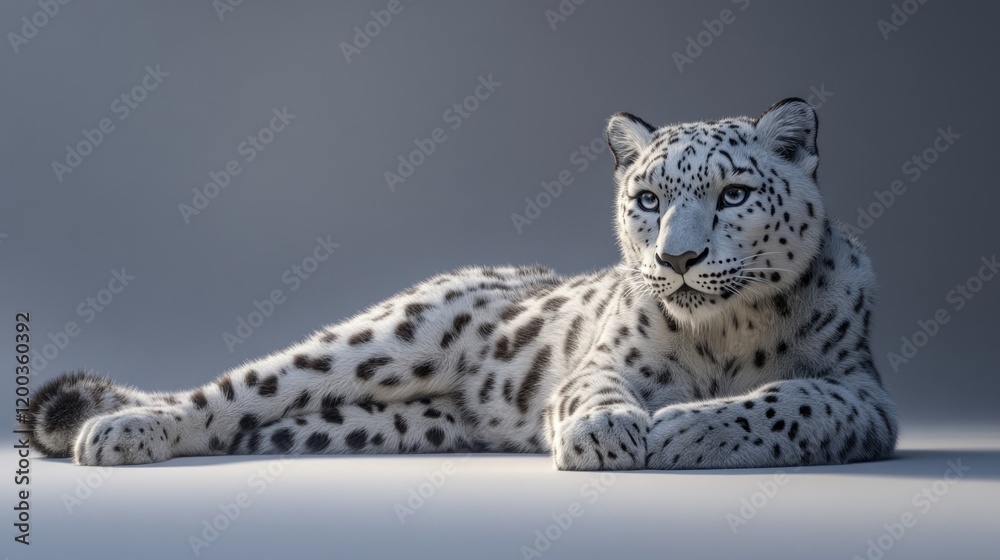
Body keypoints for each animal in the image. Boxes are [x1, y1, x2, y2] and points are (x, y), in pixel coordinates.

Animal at [28, 98, 898, 470]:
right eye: (649, 199)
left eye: (734, 195)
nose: (677, 260)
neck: (720, 333)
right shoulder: (604, 362)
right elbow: (593, 390)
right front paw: (607, 435)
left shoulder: (861, 392)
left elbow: (791, 400)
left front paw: (688, 430)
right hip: (376, 340)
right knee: (233, 393)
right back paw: (113, 432)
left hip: (381, 423)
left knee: (258, 422)